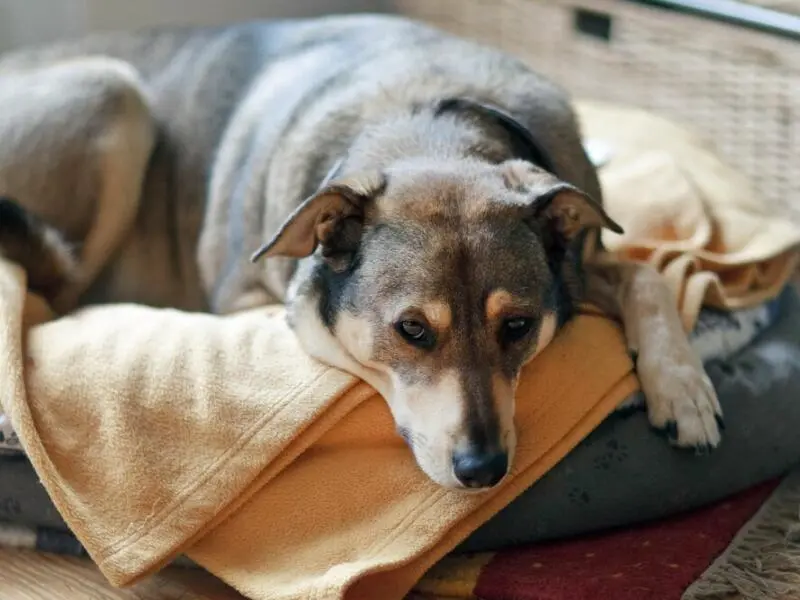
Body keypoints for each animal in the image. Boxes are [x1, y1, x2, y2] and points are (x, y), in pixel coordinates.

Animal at [0, 14, 720, 490]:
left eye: (517, 326)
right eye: (411, 331)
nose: (483, 470)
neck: (427, 122)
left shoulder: (573, 262)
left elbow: (646, 274)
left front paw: (682, 389)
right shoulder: (251, 300)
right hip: (111, 93)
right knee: (41, 290)